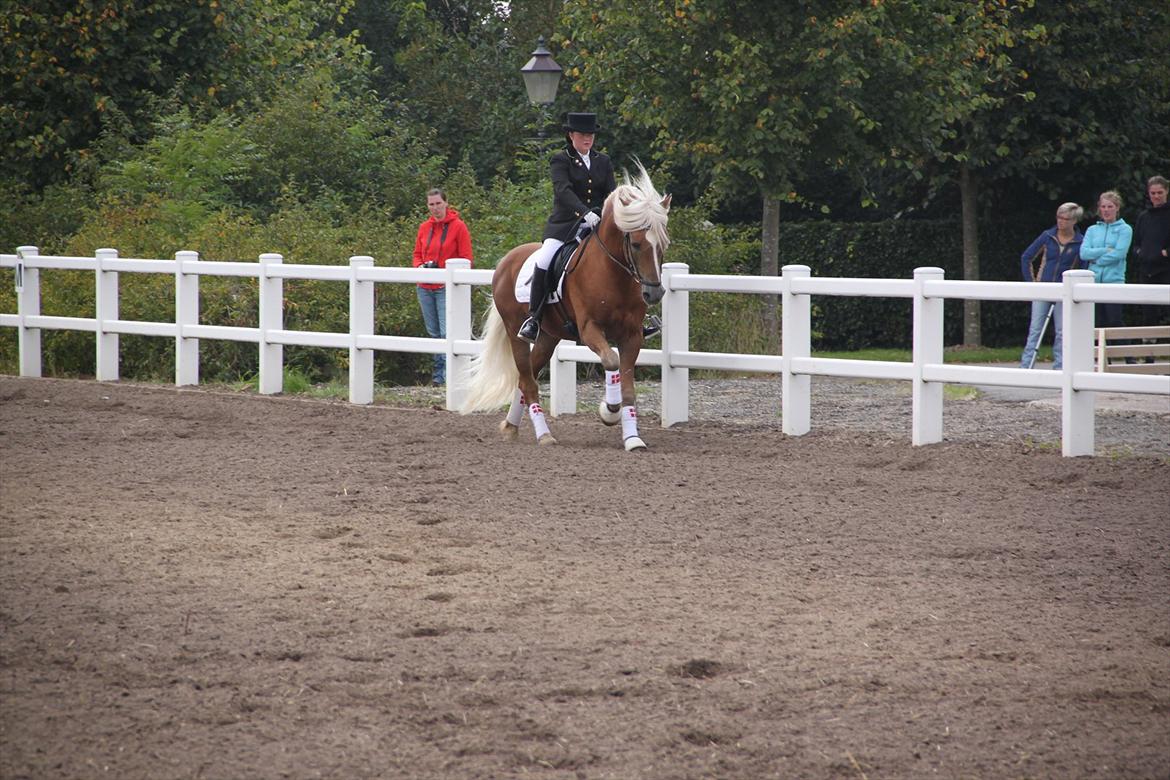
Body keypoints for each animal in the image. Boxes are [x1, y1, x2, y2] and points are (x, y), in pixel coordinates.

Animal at [458, 164, 673, 451]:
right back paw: (544, 435)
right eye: (637, 244)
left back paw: (511, 427)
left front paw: (632, 438)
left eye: (663, 244)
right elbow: (611, 361)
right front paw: (609, 411)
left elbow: (628, 388)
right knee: (528, 380)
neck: (613, 272)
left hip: (549, 336)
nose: (654, 292)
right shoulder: (589, 329)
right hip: (516, 332)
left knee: (526, 379)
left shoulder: (632, 335)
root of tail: (506, 261)